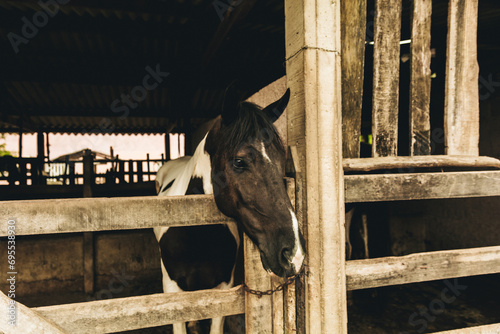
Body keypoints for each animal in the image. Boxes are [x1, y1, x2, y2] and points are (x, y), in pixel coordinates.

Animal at [155, 88, 304, 334]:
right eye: (239, 162)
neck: (196, 238)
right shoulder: (172, 291)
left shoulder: (223, 287)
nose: (293, 253)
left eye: (282, 159)